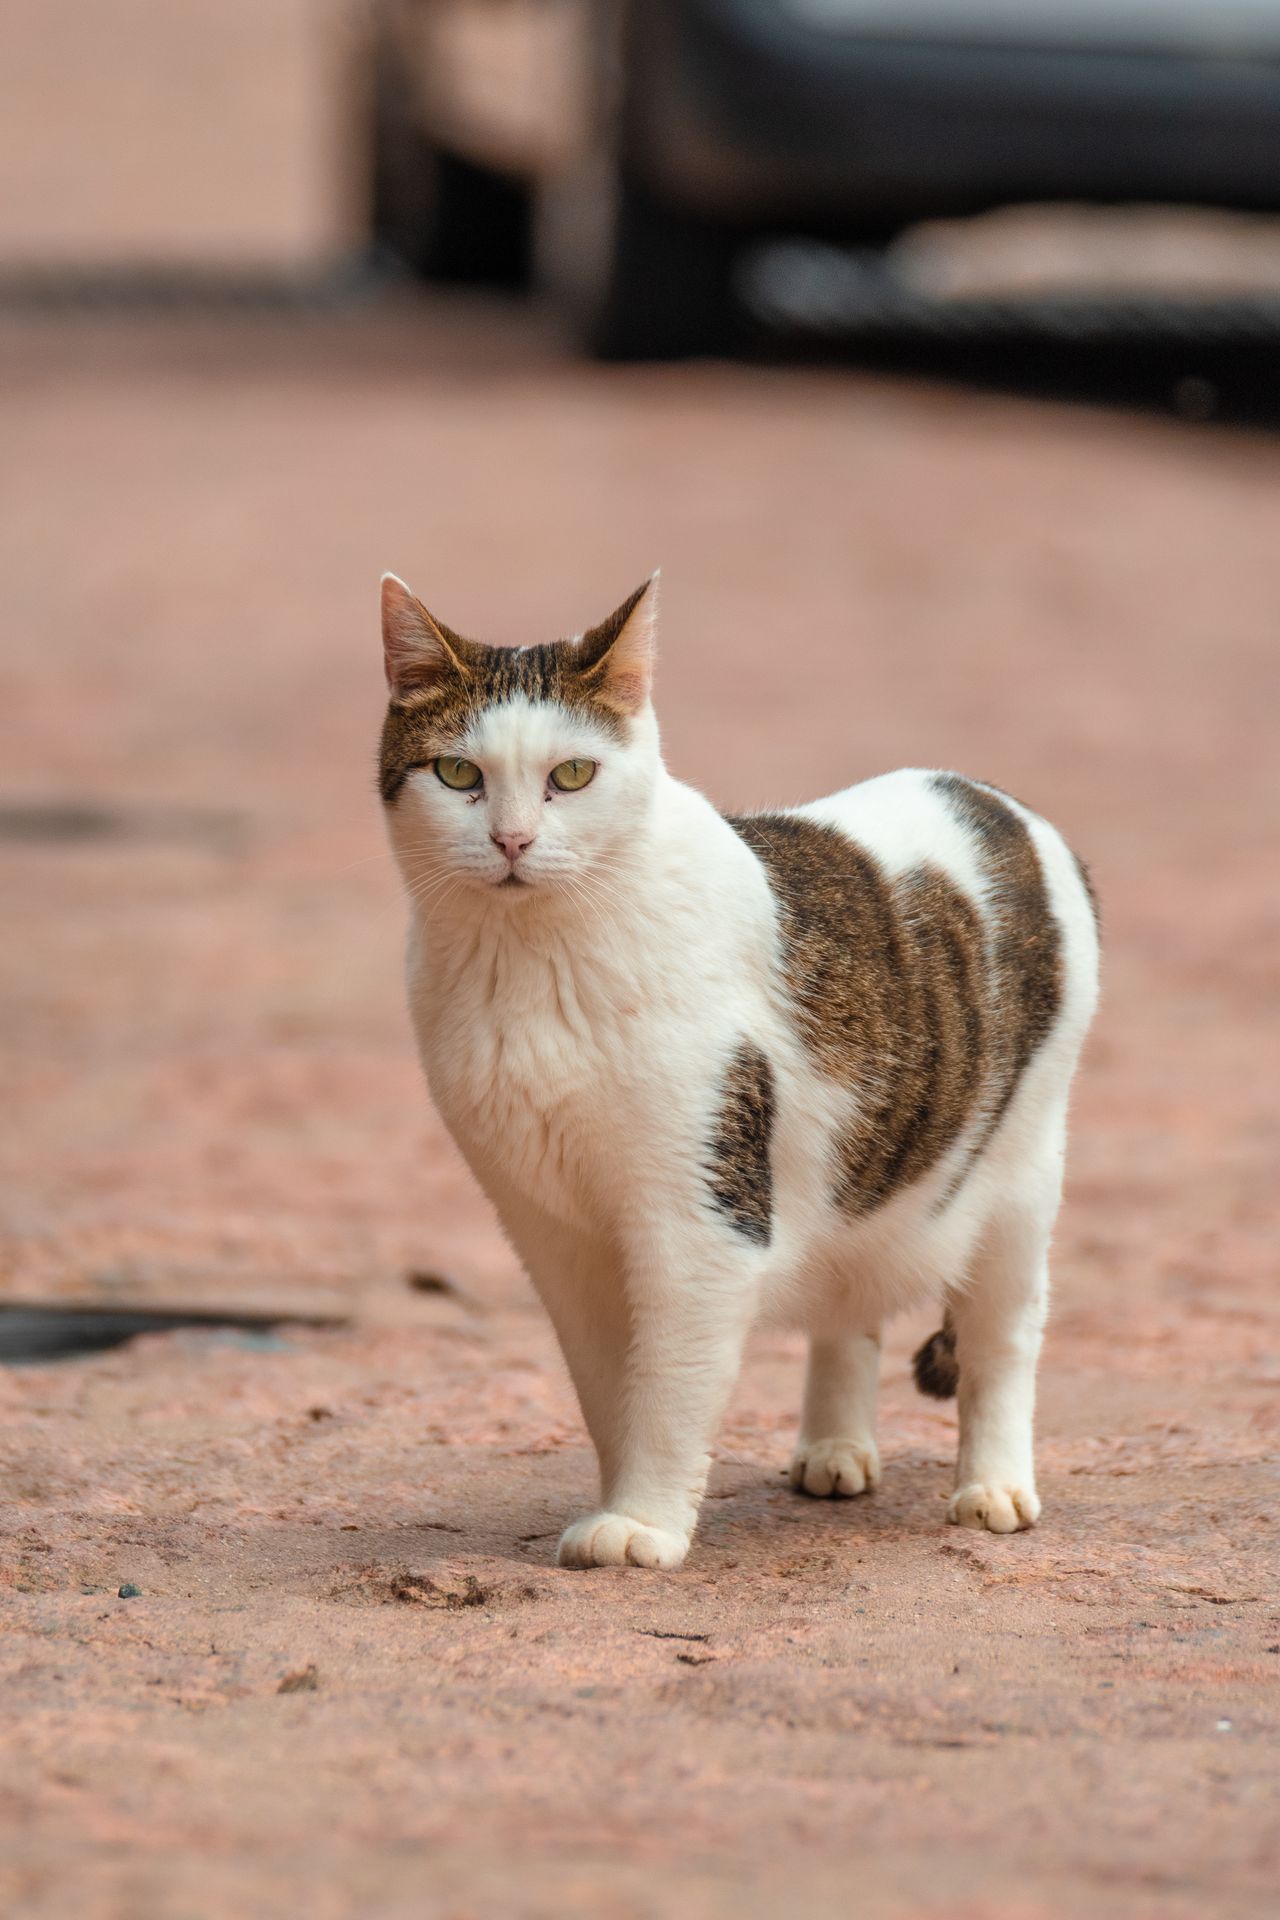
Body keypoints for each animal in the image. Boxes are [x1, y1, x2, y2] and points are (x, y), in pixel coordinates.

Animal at [379, 572, 1099, 1569]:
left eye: (572, 775)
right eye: (457, 775)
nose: (513, 841)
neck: (530, 965)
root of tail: (993, 796)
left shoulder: (701, 1217)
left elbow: (670, 1383)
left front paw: (644, 1523)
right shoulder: (550, 1230)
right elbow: (609, 1385)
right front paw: (620, 1500)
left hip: (1021, 1179)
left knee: (1002, 1341)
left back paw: (992, 1487)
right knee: (851, 1306)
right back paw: (835, 1451)